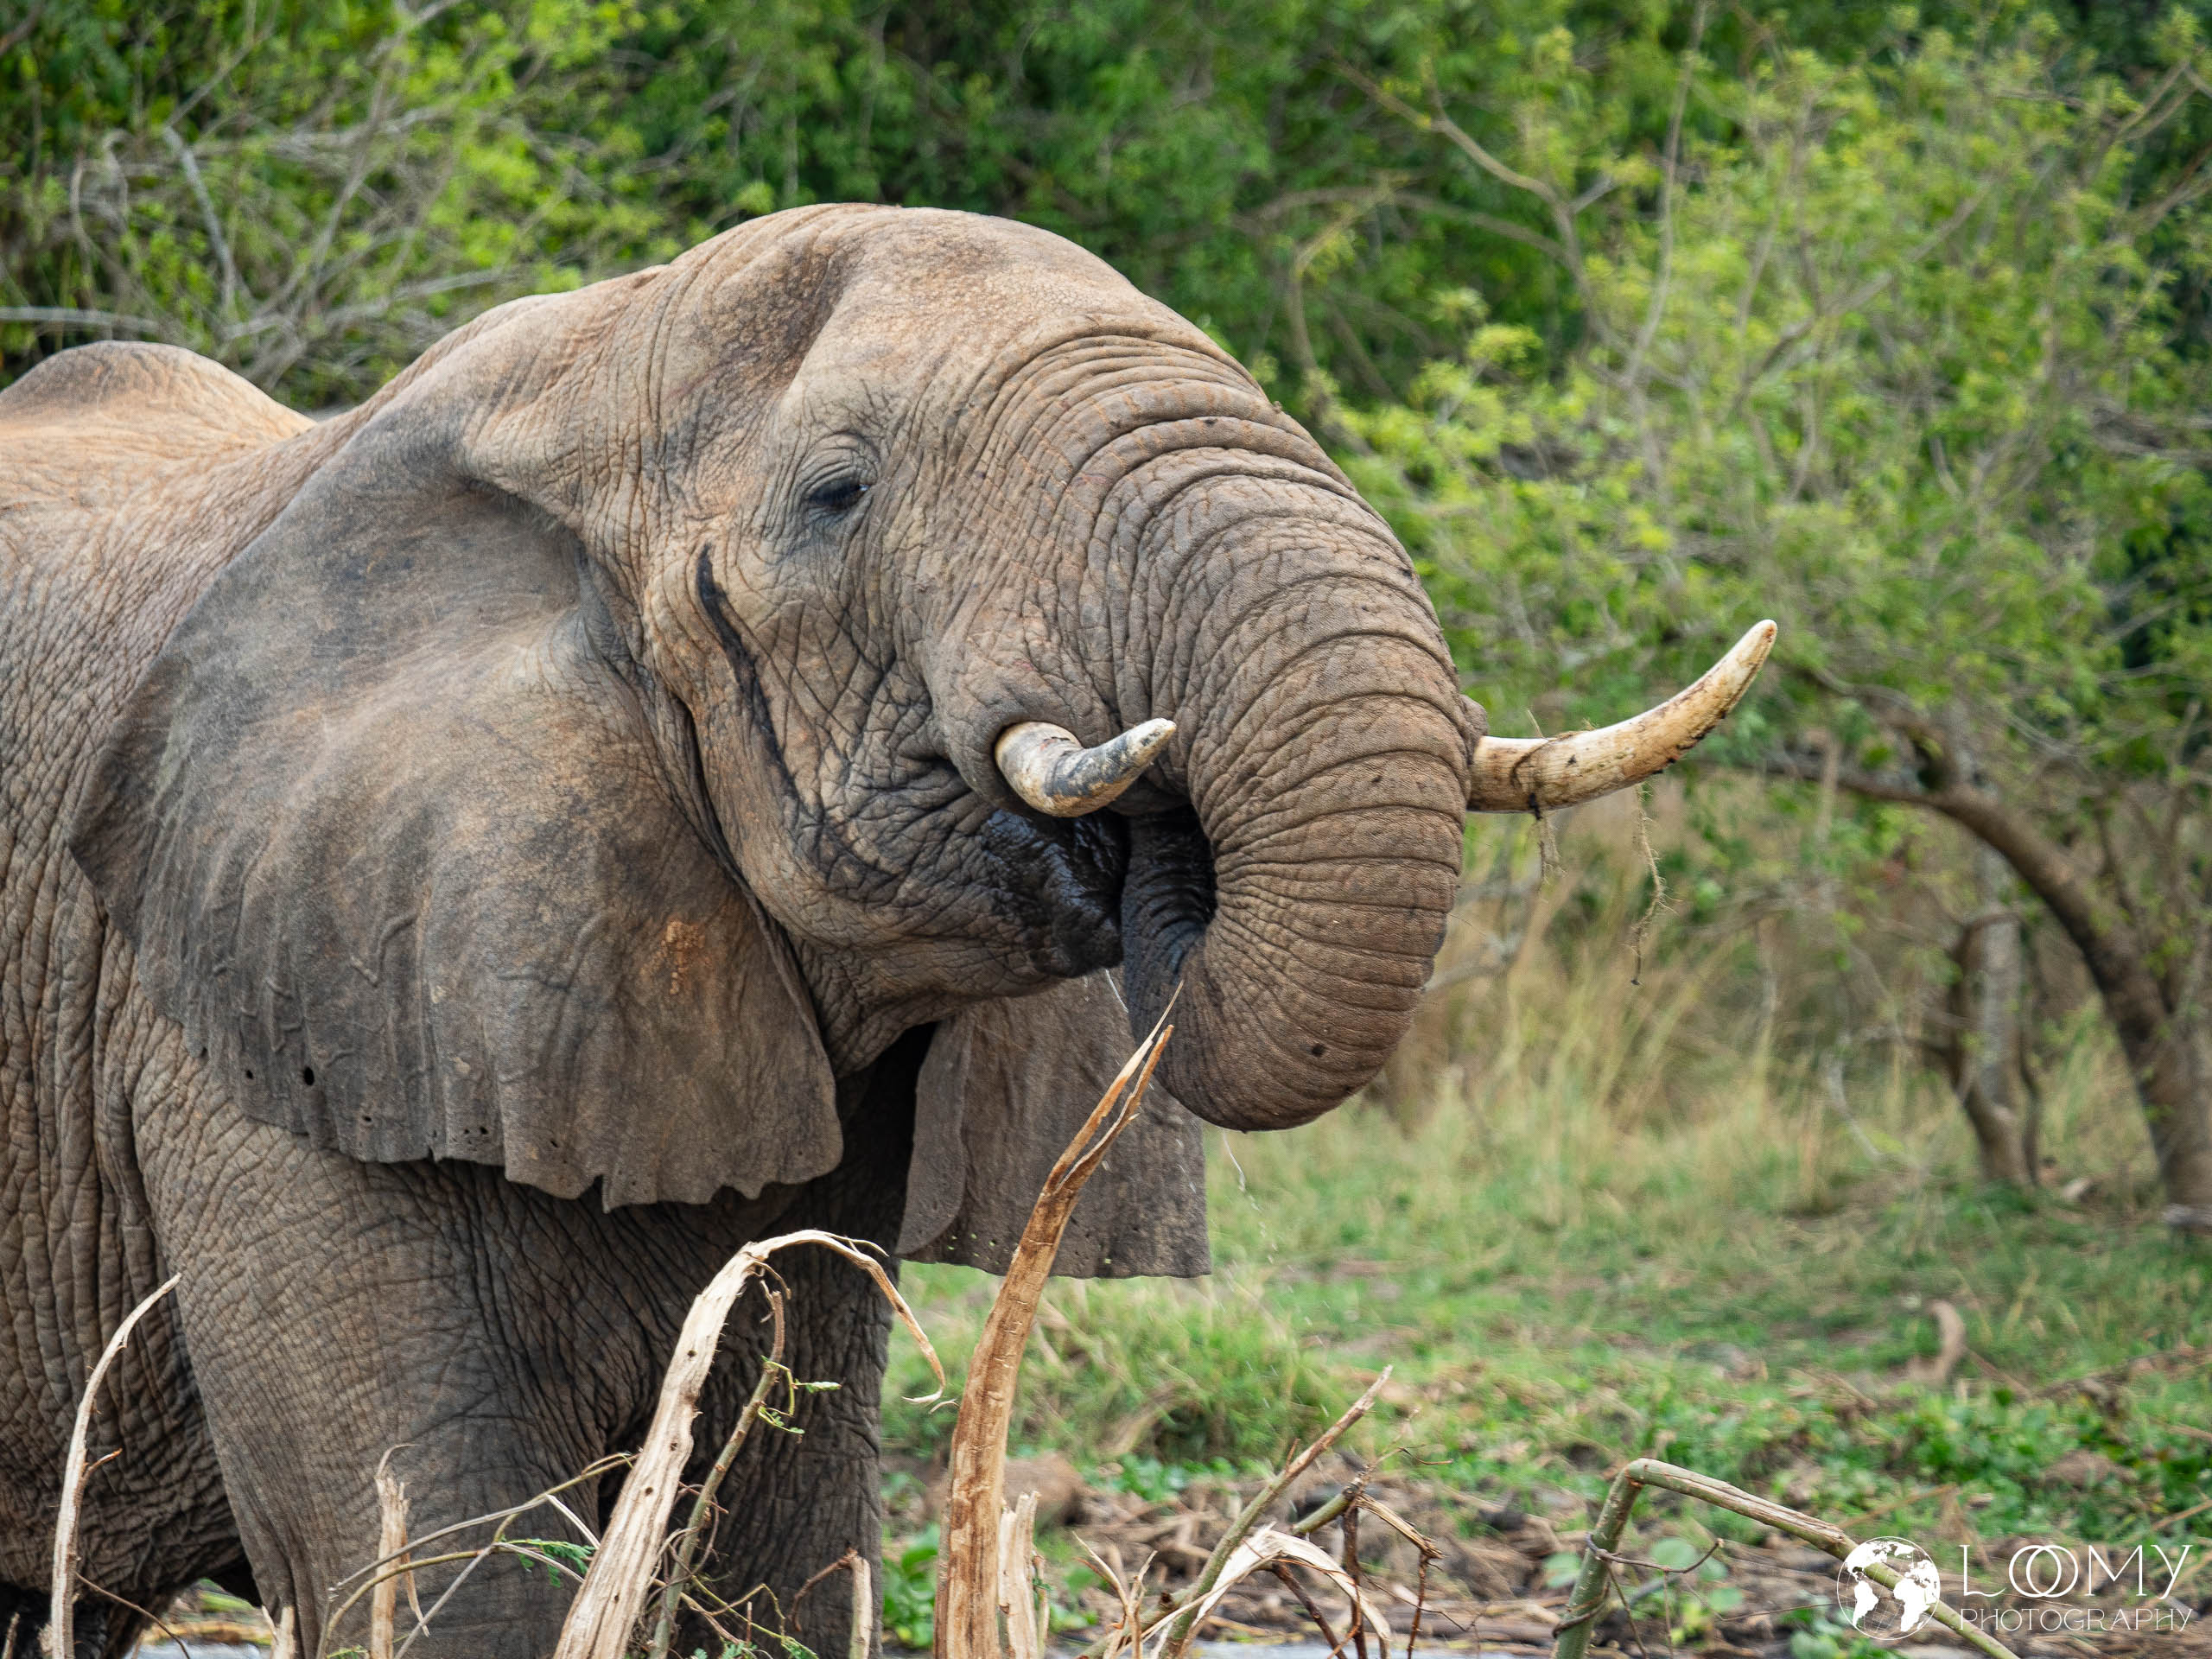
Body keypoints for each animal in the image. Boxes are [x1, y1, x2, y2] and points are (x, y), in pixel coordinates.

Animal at [0, 203, 1766, 1657]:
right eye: (839, 497)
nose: (1156, 814)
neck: (585, 371)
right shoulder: (239, 1011)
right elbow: (449, 1577)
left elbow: (779, 1560)